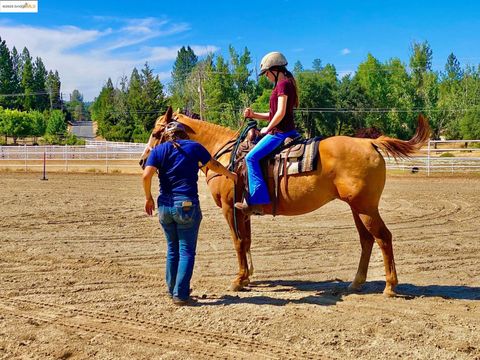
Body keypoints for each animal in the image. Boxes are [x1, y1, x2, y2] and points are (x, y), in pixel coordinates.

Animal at [142, 107, 432, 298]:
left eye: (156, 132)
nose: (144, 161)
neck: (224, 155)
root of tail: (370, 142)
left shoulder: (229, 208)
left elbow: (238, 242)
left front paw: (238, 280)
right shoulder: (243, 211)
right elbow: (247, 242)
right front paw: (247, 277)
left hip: (366, 208)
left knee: (383, 238)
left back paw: (390, 286)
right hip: (357, 208)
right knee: (367, 240)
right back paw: (356, 283)